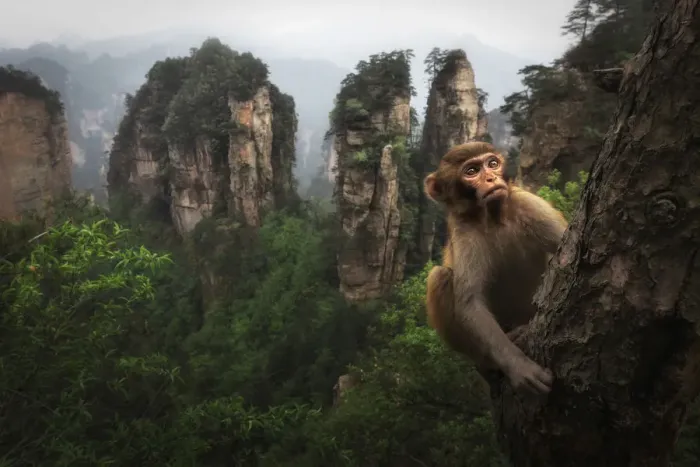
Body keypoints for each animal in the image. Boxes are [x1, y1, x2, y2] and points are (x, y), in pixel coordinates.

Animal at [424, 142, 568, 395]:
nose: (491, 178)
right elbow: (470, 302)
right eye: (471, 171)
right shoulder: (463, 231)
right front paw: (518, 366)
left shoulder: (529, 204)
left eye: (492, 164)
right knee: (439, 276)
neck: (493, 216)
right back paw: (489, 363)